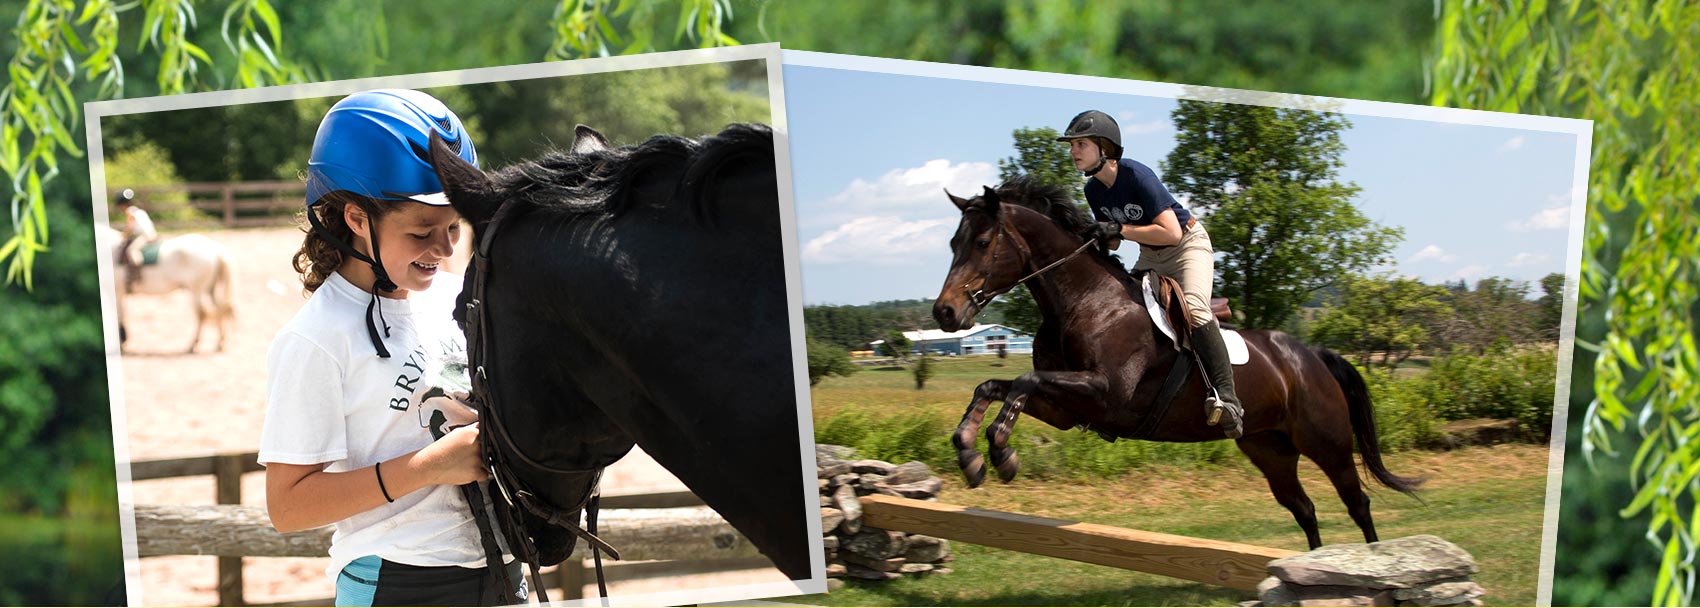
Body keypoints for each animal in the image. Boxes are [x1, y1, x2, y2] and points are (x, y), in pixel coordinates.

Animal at [98, 227, 236, 351]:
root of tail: (213, 248)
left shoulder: (117, 292)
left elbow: (119, 316)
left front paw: (121, 344)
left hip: (196, 291)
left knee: (201, 314)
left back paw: (192, 345)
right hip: (209, 290)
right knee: (218, 311)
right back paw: (219, 342)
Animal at [931, 176, 1421, 550]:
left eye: (982, 242)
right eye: (953, 242)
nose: (945, 313)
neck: (1085, 300)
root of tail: (1311, 356)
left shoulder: (1105, 393)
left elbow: (1023, 380)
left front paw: (1001, 452)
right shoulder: (1068, 408)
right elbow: (996, 386)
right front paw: (970, 453)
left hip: (1327, 443)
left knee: (1357, 502)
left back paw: (1372, 564)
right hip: (1269, 448)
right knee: (1304, 508)